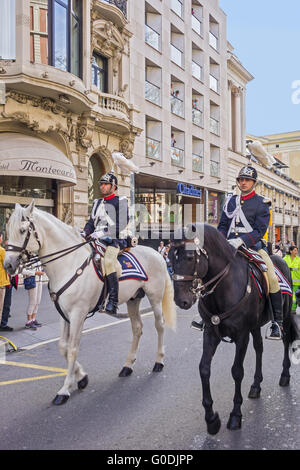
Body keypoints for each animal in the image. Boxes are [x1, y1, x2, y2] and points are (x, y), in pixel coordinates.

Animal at [4, 201, 177, 404]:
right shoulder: (64, 314)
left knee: (159, 325)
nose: (7, 265)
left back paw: (159, 361)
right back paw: (127, 365)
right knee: (137, 328)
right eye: (8, 229)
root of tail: (157, 254)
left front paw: (65, 389)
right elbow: (63, 346)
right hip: (134, 299)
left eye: (23, 230)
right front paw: (81, 378)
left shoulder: (78, 313)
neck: (69, 263)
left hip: (155, 297)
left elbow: (72, 348)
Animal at [170, 226, 296, 436]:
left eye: (188, 256)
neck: (223, 286)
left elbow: (237, 371)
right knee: (259, 348)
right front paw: (211, 419)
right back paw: (256, 385)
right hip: (255, 325)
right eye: (170, 256)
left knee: (286, 341)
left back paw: (285, 375)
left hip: (284, 316)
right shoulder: (210, 333)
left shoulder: (241, 335)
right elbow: (204, 369)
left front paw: (235, 415)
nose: (181, 301)